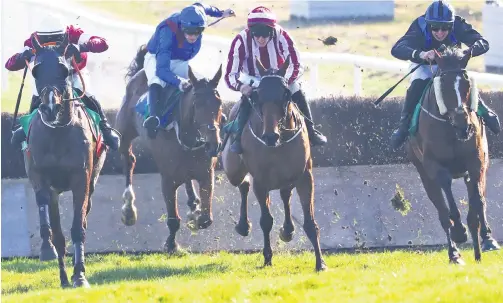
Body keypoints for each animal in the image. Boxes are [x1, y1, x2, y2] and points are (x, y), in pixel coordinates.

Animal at [23, 34, 107, 288]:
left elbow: (78, 228)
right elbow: (47, 212)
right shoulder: (41, 176)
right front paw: (46, 248)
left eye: (64, 69)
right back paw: (62, 276)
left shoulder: (81, 178)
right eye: (36, 71)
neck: (58, 133)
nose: (50, 107)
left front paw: (79, 275)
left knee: (84, 216)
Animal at [117, 49, 223, 254]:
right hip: (123, 133)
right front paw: (171, 244)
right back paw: (128, 209)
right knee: (129, 159)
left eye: (219, 103)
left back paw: (193, 203)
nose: (213, 144)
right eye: (196, 104)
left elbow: (207, 219)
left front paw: (196, 216)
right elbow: (173, 219)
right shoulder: (167, 179)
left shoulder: (206, 173)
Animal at [220, 55, 326, 272]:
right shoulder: (261, 181)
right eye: (257, 96)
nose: (270, 136)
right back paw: (243, 225)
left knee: (285, 193)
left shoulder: (305, 176)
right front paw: (268, 257)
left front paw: (320, 263)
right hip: (232, 169)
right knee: (243, 184)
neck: (279, 142)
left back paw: (287, 230)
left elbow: (310, 222)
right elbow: (266, 220)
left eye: (285, 95)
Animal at [410, 45, 500, 266]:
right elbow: (448, 199)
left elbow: (477, 202)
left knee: (479, 199)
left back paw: (487, 240)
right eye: (444, 84)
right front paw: (460, 231)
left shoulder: (476, 161)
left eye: (467, 83)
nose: (463, 126)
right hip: (423, 173)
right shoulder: (433, 165)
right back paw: (454, 254)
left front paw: (480, 241)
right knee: (442, 212)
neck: (451, 129)